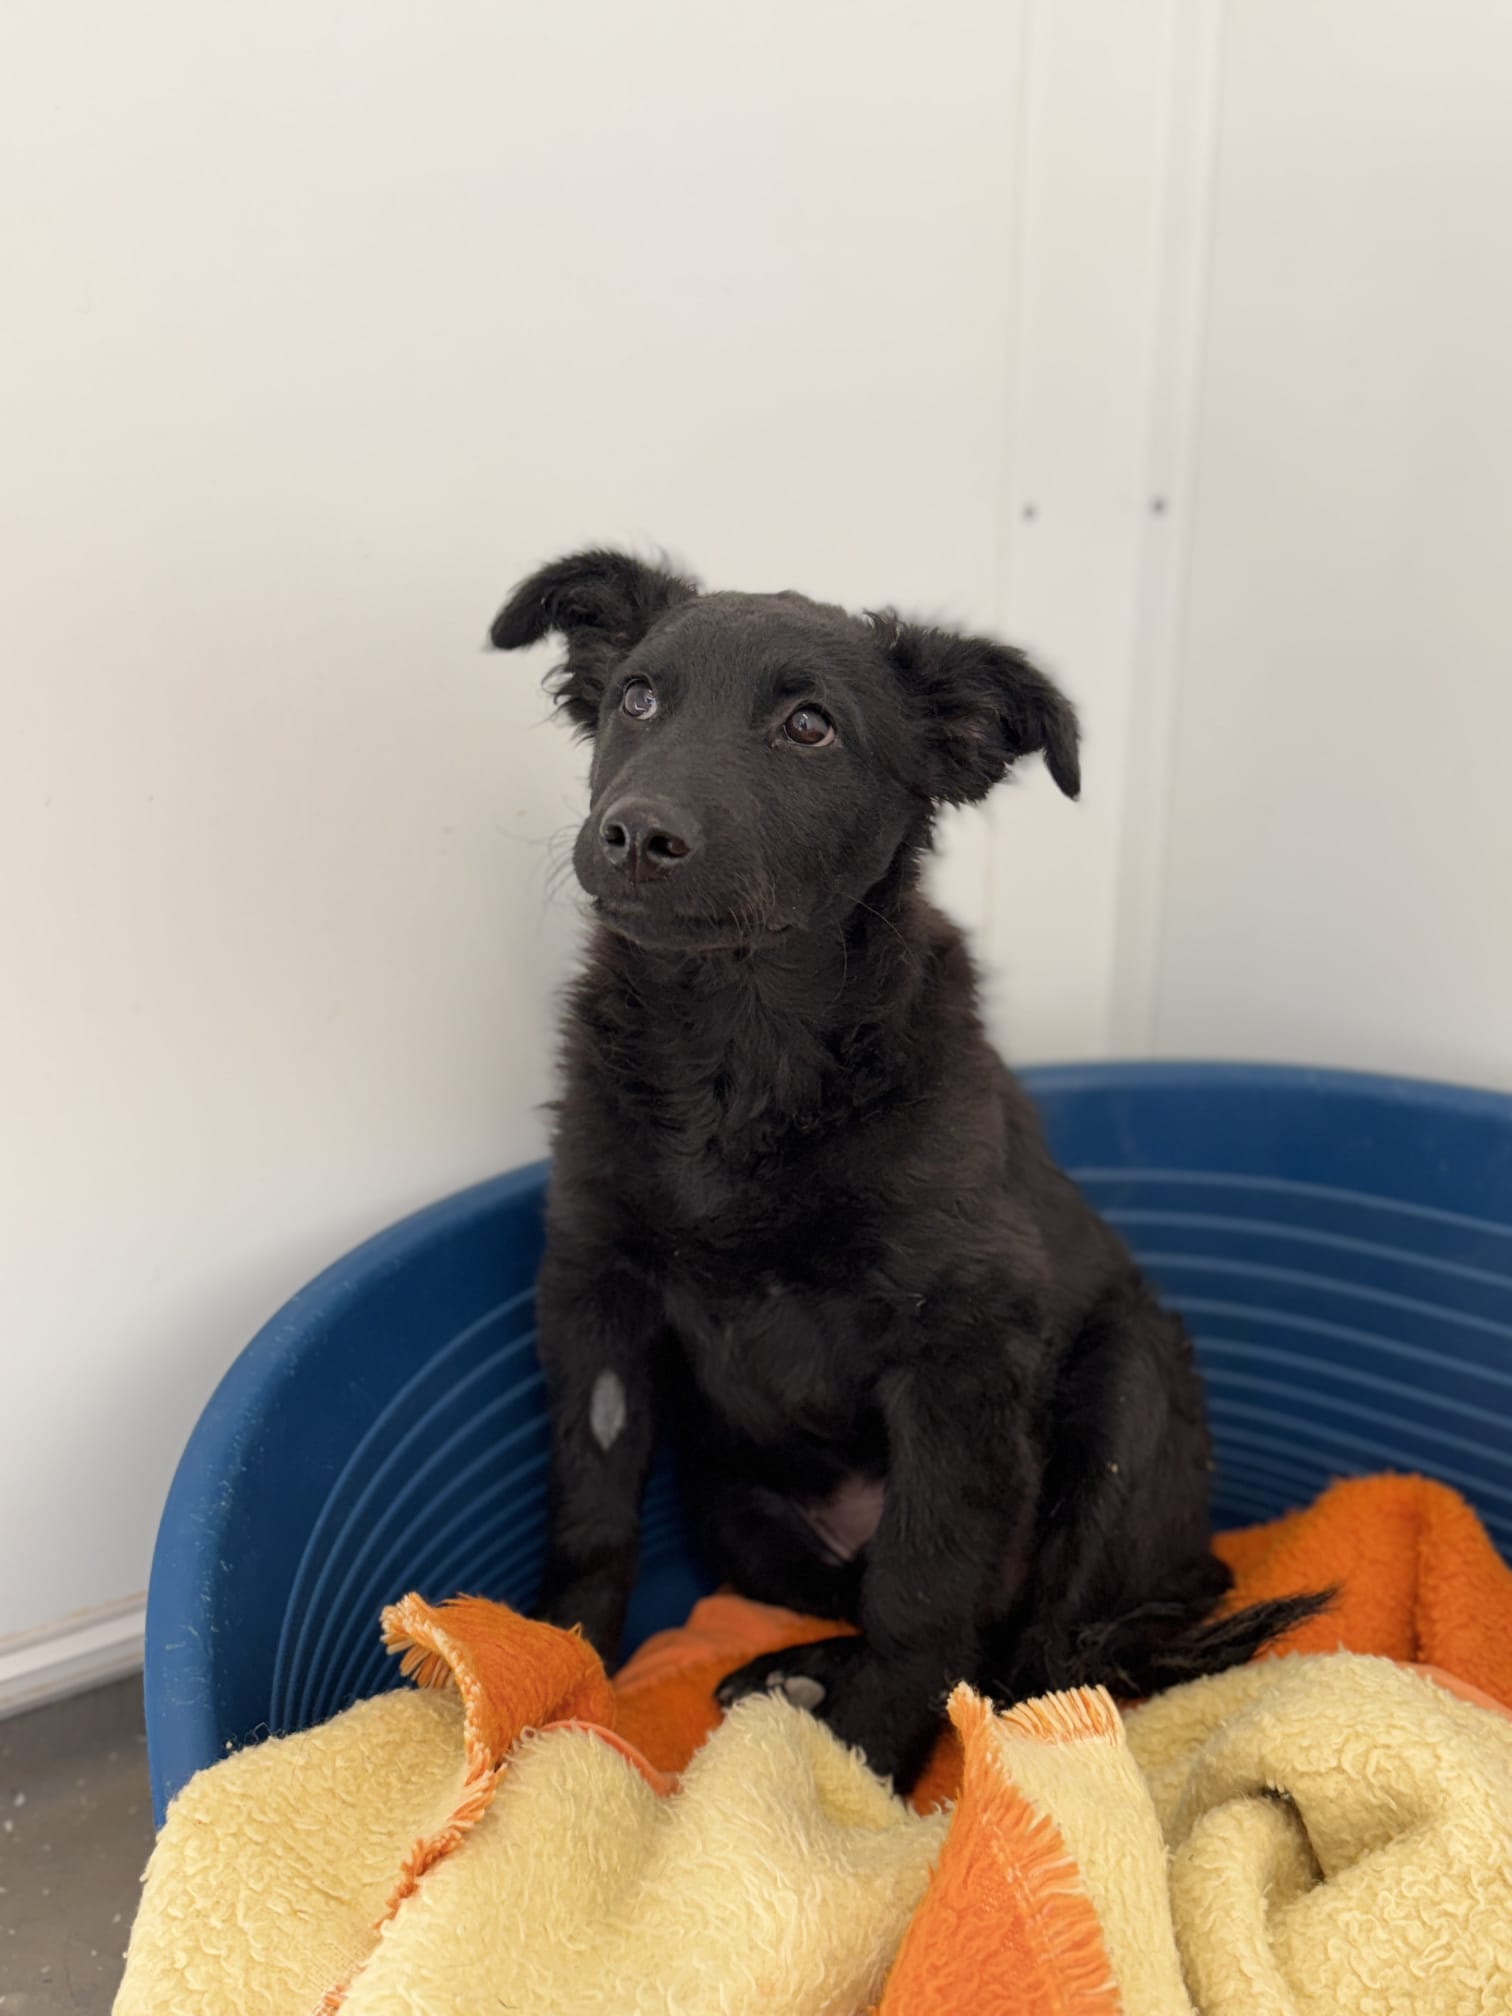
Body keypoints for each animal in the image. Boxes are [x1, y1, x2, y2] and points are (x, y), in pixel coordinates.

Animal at [489, 548, 1326, 1791]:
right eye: (637, 698)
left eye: (809, 727)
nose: (637, 834)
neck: (741, 1042)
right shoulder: (594, 1290)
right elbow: (590, 1507)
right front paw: (556, 1673)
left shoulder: (961, 1350)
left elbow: (927, 1583)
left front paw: (864, 1766)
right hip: (736, 1505)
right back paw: (793, 1668)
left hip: (1125, 1392)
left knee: (1034, 1648)